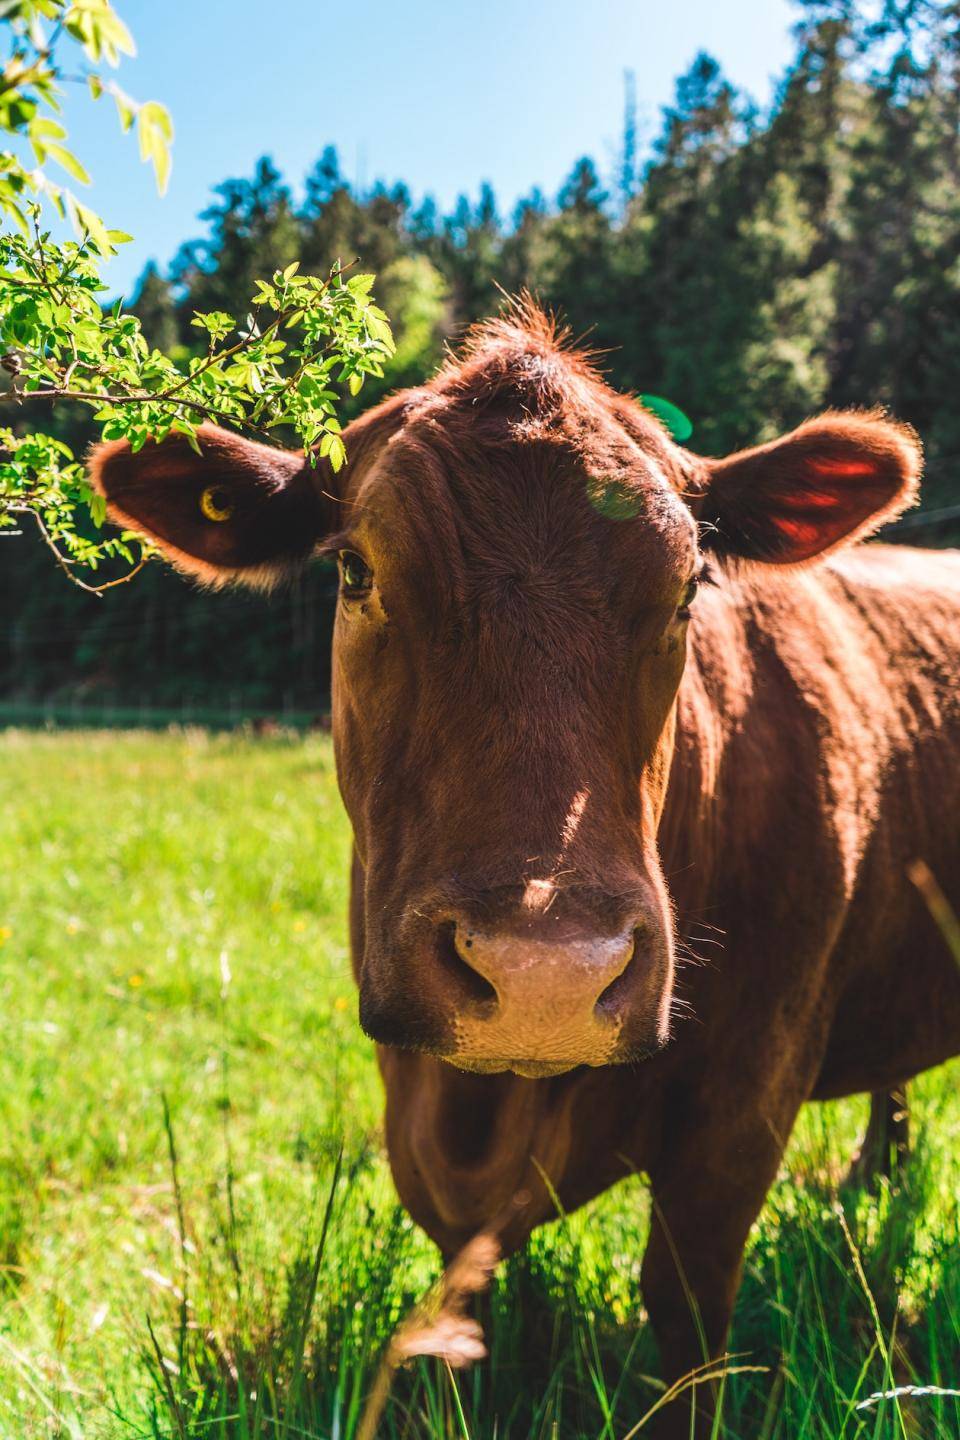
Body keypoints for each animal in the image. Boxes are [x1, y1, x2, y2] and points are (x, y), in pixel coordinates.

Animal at [90, 305, 960, 1435]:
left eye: (690, 588)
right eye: (356, 571)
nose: (546, 974)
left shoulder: (746, 1098)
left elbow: (685, 1310)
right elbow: (462, 1303)